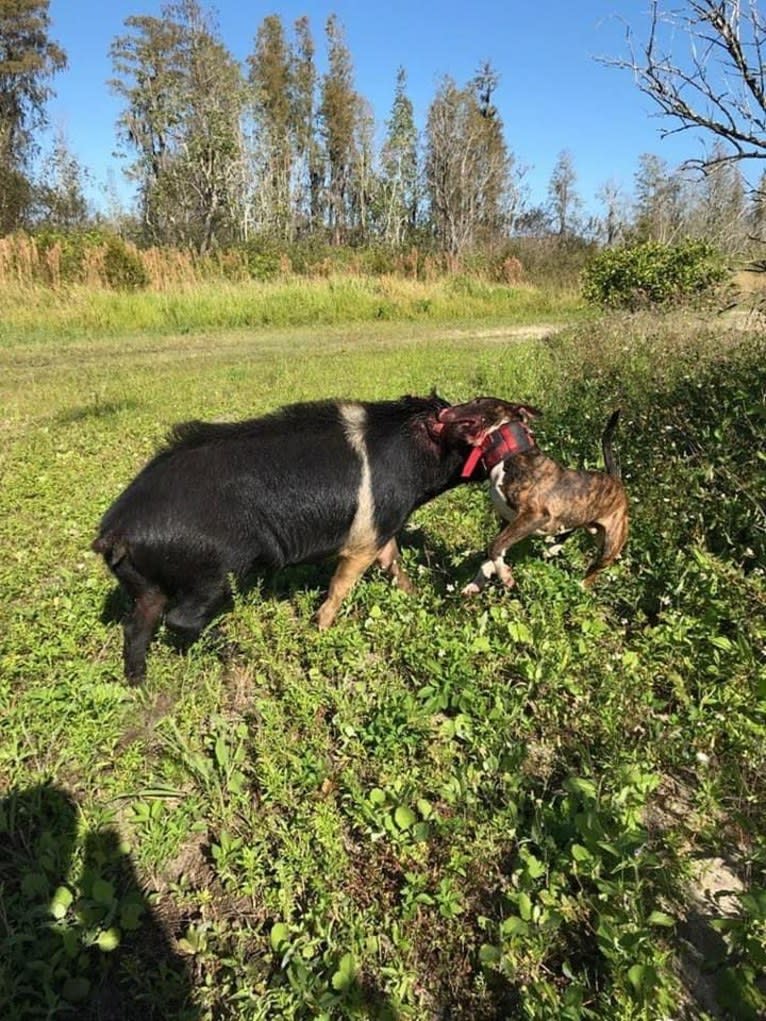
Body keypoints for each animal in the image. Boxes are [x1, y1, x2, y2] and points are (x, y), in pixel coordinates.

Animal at [435, 394, 625, 596]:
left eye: (478, 401)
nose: (443, 411)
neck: (509, 454)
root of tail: (616, 480)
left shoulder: (535, 515)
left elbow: (494, 546)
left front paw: (505, 577)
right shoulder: (508, 521)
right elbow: (493, 551)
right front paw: (476, 583)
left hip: (610, 543)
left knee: (595, 568)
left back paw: (580, 586)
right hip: (584, 520)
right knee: (571, 528)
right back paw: (553, 548)